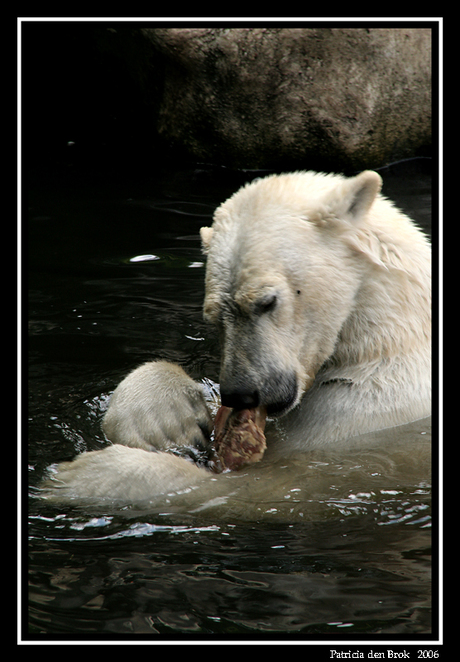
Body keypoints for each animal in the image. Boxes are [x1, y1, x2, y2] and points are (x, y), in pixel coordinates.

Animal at [41, 170, 434, 504]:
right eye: (214, 315)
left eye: (266, 301)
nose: (241, 392)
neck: (388, 338)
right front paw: (165, 421)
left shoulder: (368, 411)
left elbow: (269, 484)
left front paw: (84, 475)